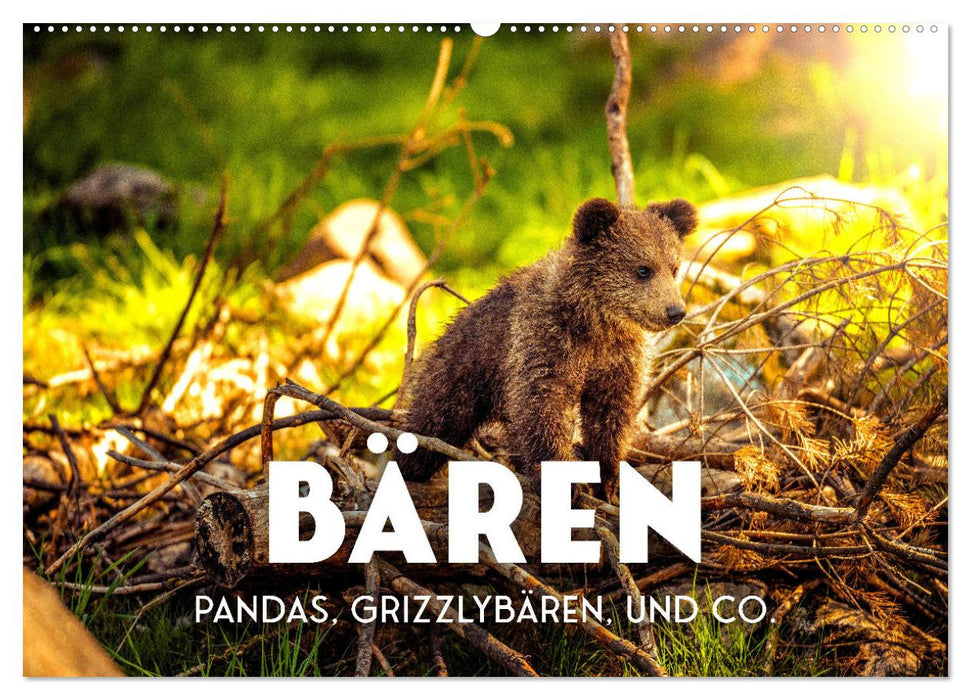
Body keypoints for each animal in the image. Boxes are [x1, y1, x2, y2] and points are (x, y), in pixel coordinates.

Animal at [394, 196, 698, 501]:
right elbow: (542, 406)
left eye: (673, 268)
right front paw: (568, 482)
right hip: (461, 372)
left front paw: (608, 482)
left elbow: (609, 415)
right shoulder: (546, 342)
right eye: (643, 269)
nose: (675, 311)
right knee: (434, 421)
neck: (595, 323)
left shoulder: (617, 358)